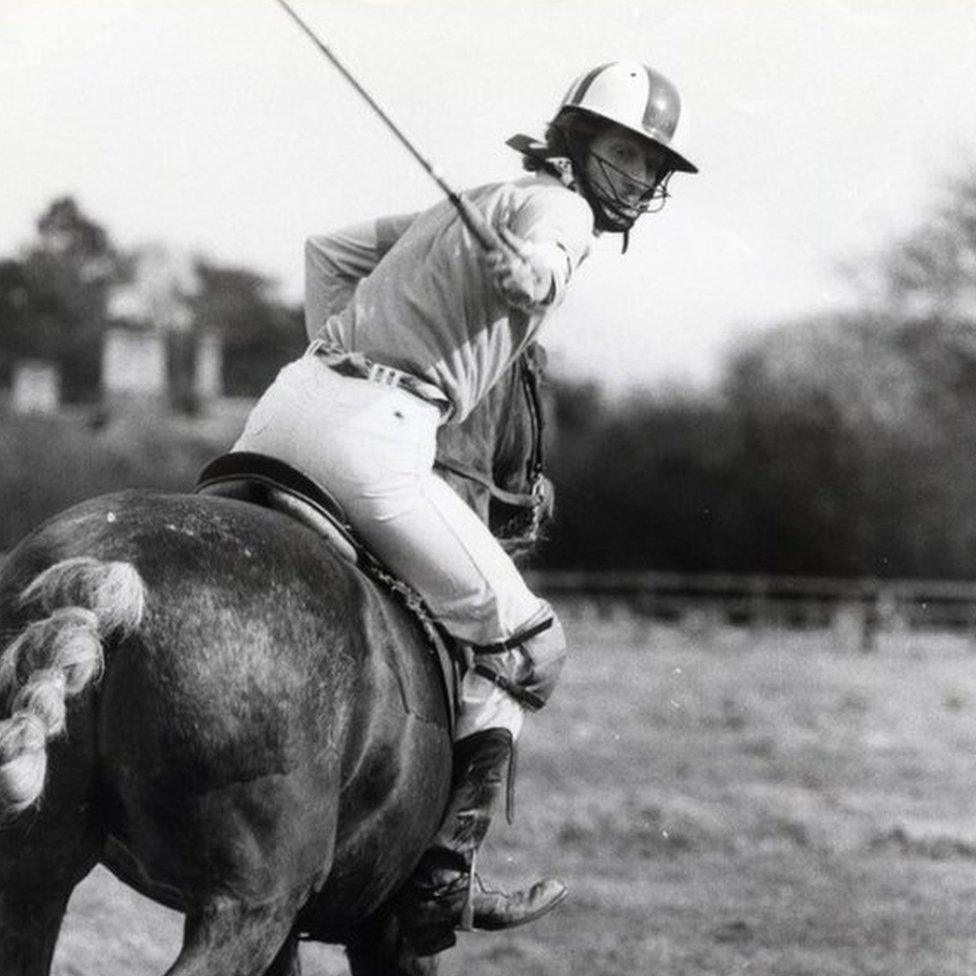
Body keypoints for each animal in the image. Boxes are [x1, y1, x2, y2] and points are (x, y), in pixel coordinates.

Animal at [0, 346, 548, 972]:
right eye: (535, 370)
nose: (536, 507)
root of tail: (111, 578)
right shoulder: (390, 929)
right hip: (251, 901)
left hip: (33, 871)